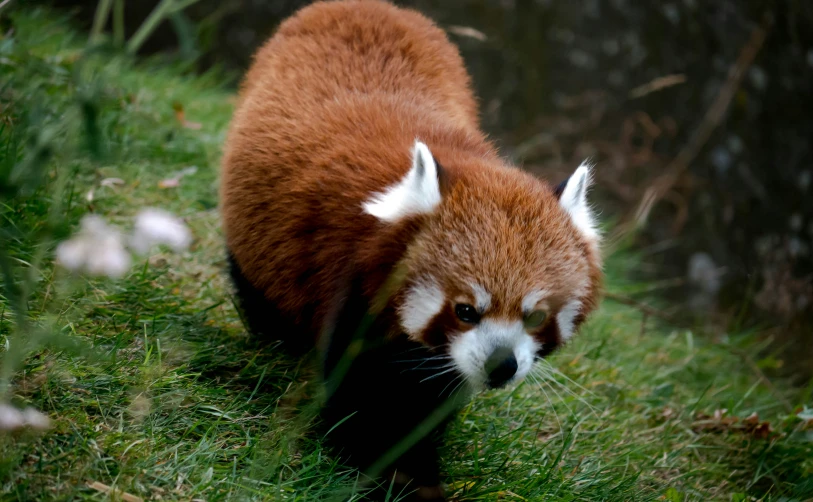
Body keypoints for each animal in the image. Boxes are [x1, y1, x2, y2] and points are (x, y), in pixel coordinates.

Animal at [219, 0, 600, 498]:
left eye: (535, 316)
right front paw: (382, 471)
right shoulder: (346, 281)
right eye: (465, 310)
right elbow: (361, 394)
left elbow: (428, 395)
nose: (502, 365)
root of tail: (370, 6)